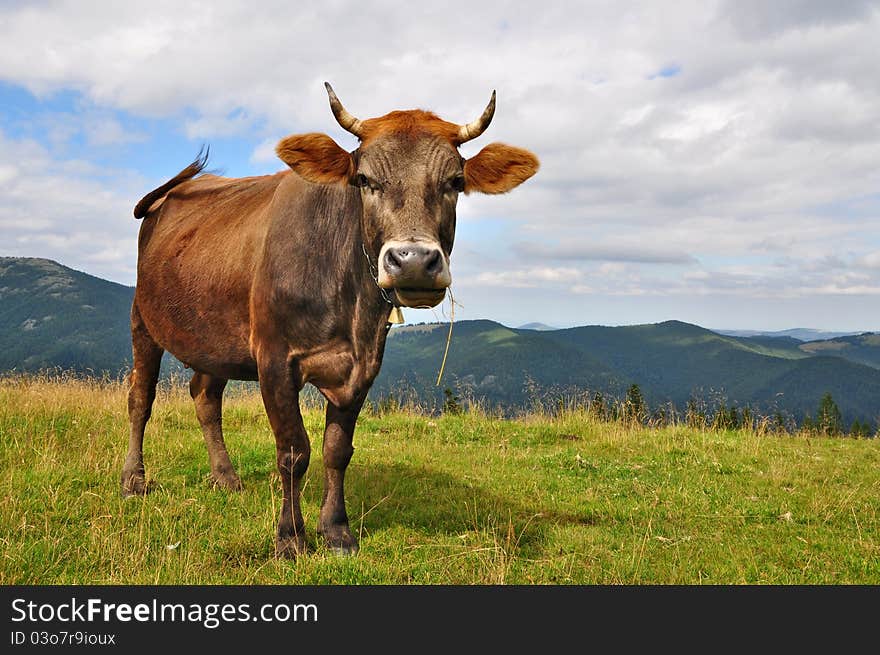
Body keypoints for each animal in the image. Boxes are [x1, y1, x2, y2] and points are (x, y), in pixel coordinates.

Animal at [120, 80, 540, 552]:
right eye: (365, 180)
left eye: (454, 181)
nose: (413, 261)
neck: (350, 310)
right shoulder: (274, 360)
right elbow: (293, 451)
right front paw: (291, 537)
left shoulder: (364, 365)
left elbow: (336, 450)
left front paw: (336, 529)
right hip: (143, 319)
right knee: (141, 397)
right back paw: (134, 481)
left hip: (214, 336)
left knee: (205, 396)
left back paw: (225, 477)